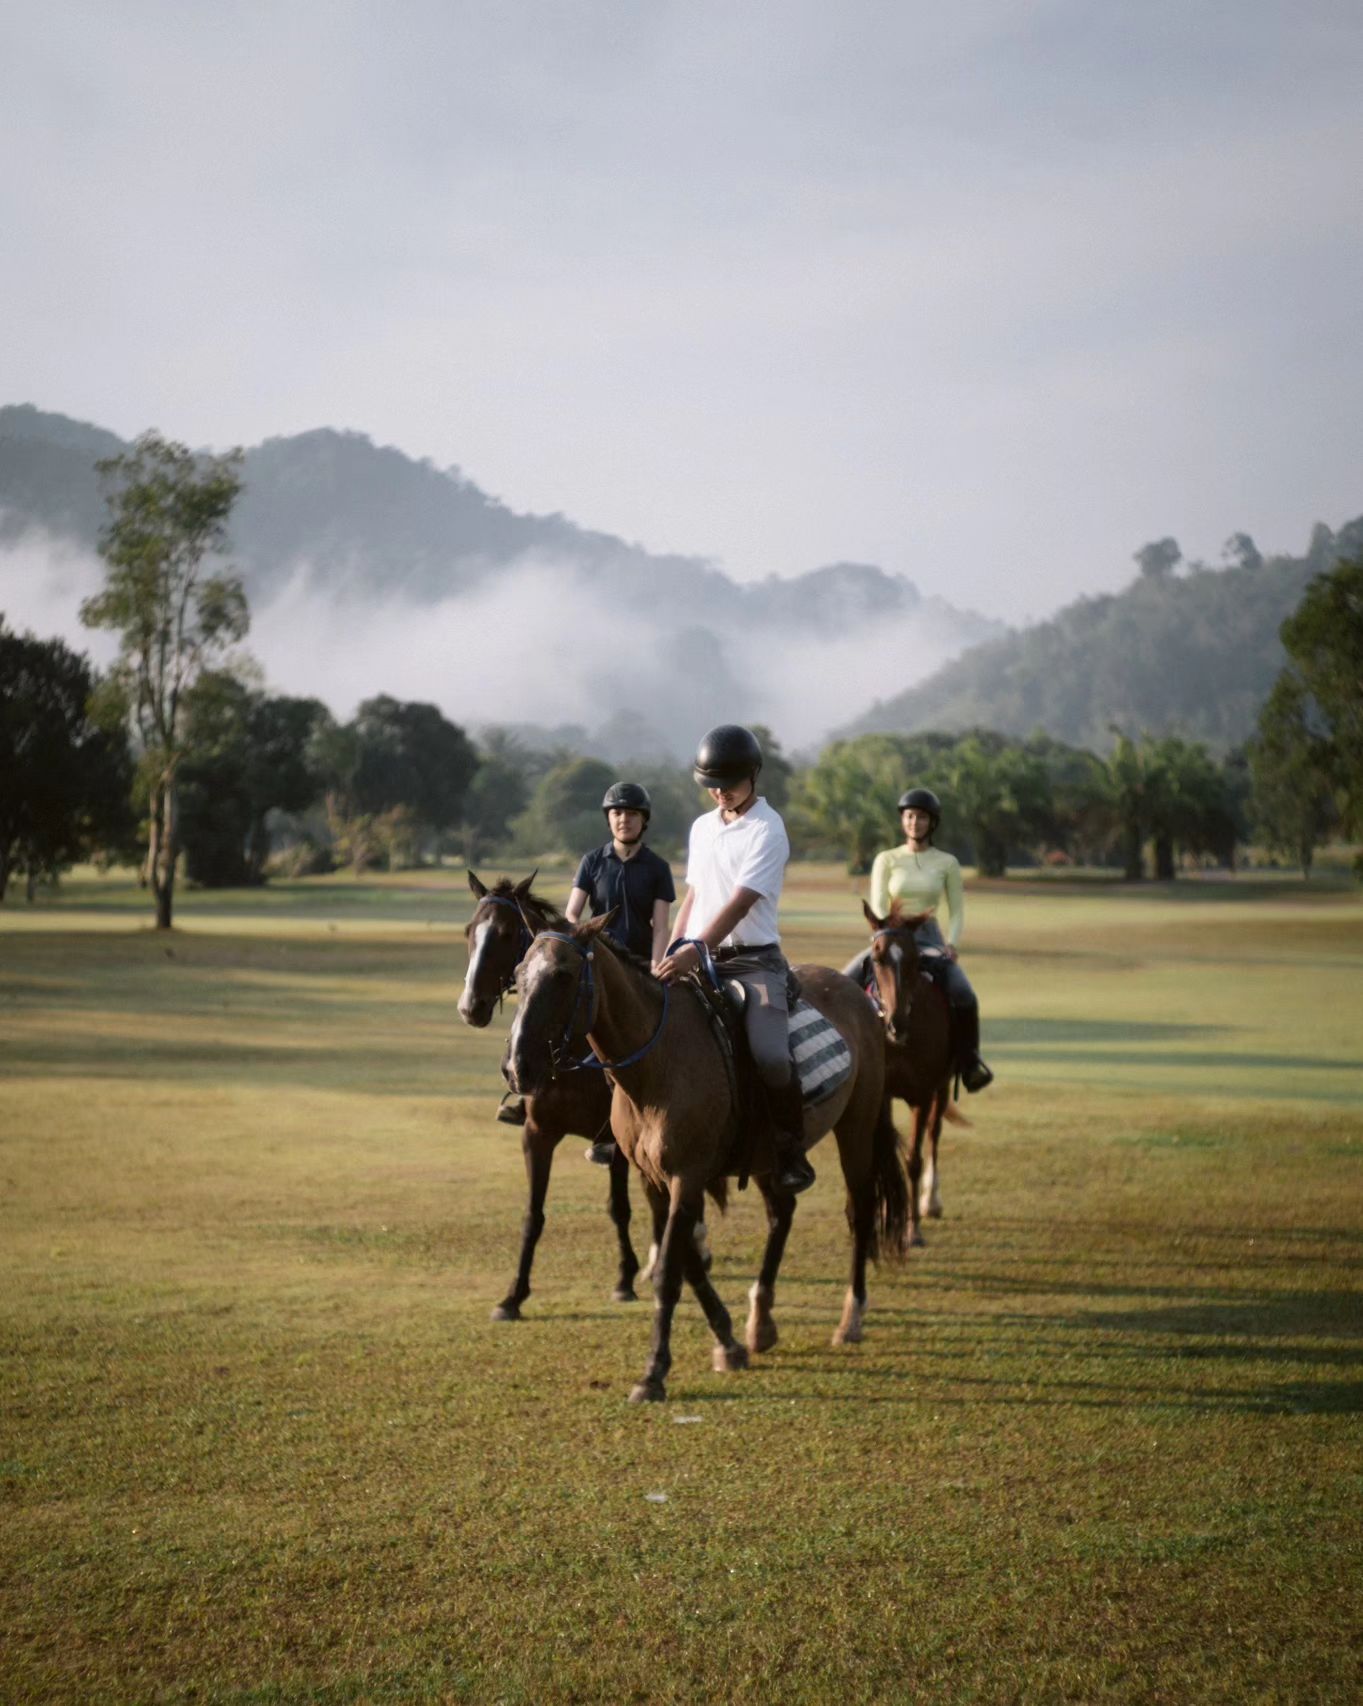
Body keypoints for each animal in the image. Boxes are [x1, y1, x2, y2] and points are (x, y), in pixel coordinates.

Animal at [501, 914, 907, 1405]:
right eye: (518, 974)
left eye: (562, 976)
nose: (517, 1067)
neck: (657, 1065)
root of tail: (857, 995)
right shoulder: (655, 1179)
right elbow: (685, 1261)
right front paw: (728, 1341)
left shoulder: (687, 1176)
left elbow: (669, 1273)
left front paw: (653, 1373)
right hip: (770, 1156)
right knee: (781, 1214)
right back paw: (761, 1322)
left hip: (856, 1128)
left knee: (861, 1212)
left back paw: (851, 1319)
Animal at [859, 900, 962, 1248]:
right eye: (876, 958)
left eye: (915, 960)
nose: (896, 1024)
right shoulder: (883, 1093)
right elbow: (885, 1153)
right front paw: (886, 1211)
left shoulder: (923, 1093)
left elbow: (914, 1159)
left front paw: (912, 1229)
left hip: (942, 1089)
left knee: (934, 1134)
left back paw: (931, 1202)